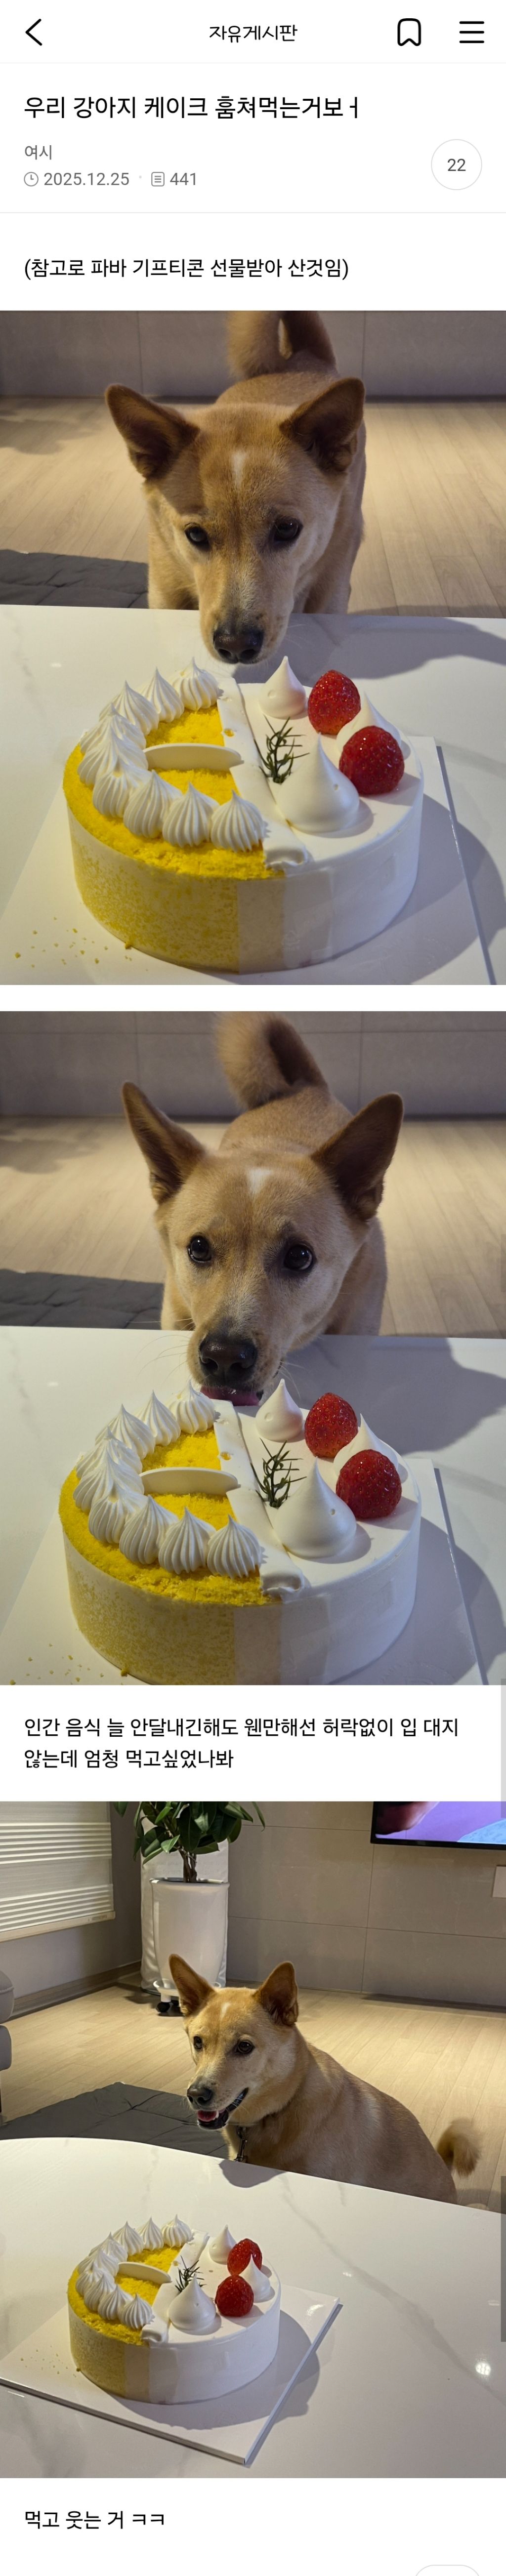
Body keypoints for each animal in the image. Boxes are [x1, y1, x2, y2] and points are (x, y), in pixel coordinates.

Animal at [106, 311, 366, 661]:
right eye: (195, 534)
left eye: (287, 529)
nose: (236, 645)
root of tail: (304, 357)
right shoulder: (164, 592)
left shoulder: (329, 594)